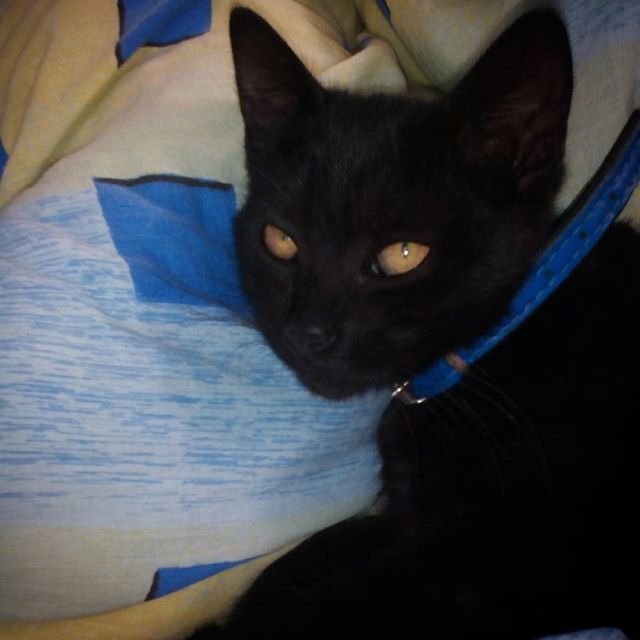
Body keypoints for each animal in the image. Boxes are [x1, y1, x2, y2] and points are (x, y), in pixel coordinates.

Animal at [191, 7, 639, 639]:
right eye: (280, 240)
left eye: (404, 254)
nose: (308, 332)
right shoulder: (408, 521)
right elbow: (318, 551)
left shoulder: (504, 559)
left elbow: (339, 605)